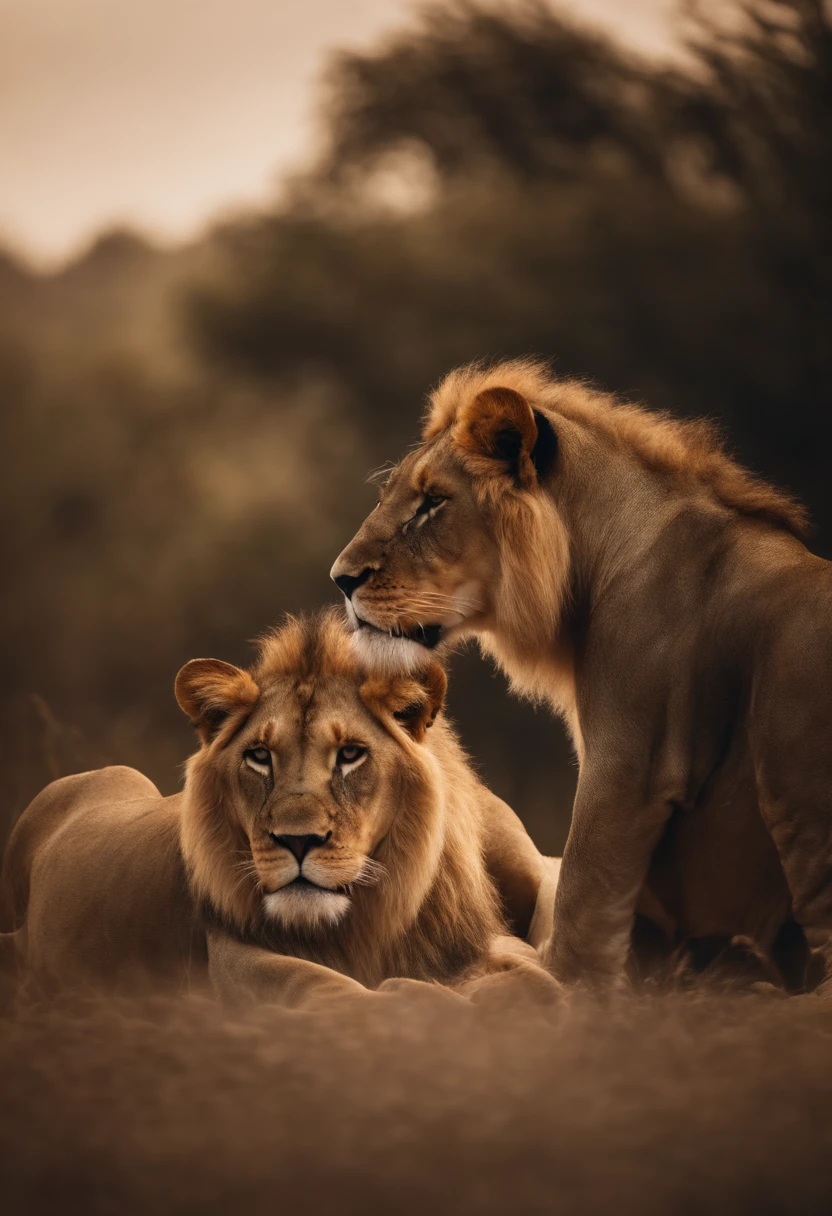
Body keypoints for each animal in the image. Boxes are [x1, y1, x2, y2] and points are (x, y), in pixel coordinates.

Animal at [3, 608, 559, 1006]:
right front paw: (413, 993)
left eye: (350, 754)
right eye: (259, 756)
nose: (298, 840)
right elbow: (339, 994)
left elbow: (535, 978)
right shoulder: (233, 959)